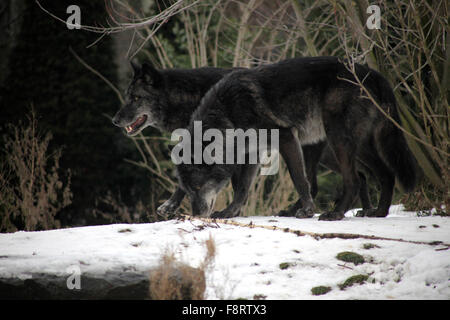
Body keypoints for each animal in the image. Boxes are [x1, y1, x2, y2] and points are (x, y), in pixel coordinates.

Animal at [176, 57, 418, 220]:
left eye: (197, 187)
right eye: (187, 191)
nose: (196, 215)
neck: (228, 111)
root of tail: (371, 73)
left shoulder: (285, 137)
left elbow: (300, 179)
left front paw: (308, 210)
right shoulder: (252, 153)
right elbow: (242, 188)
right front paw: (230, 212)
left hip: (337, 139)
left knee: (355, 179)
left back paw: (336, 213)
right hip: (353, 146)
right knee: (385, 174)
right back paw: (379, 212)